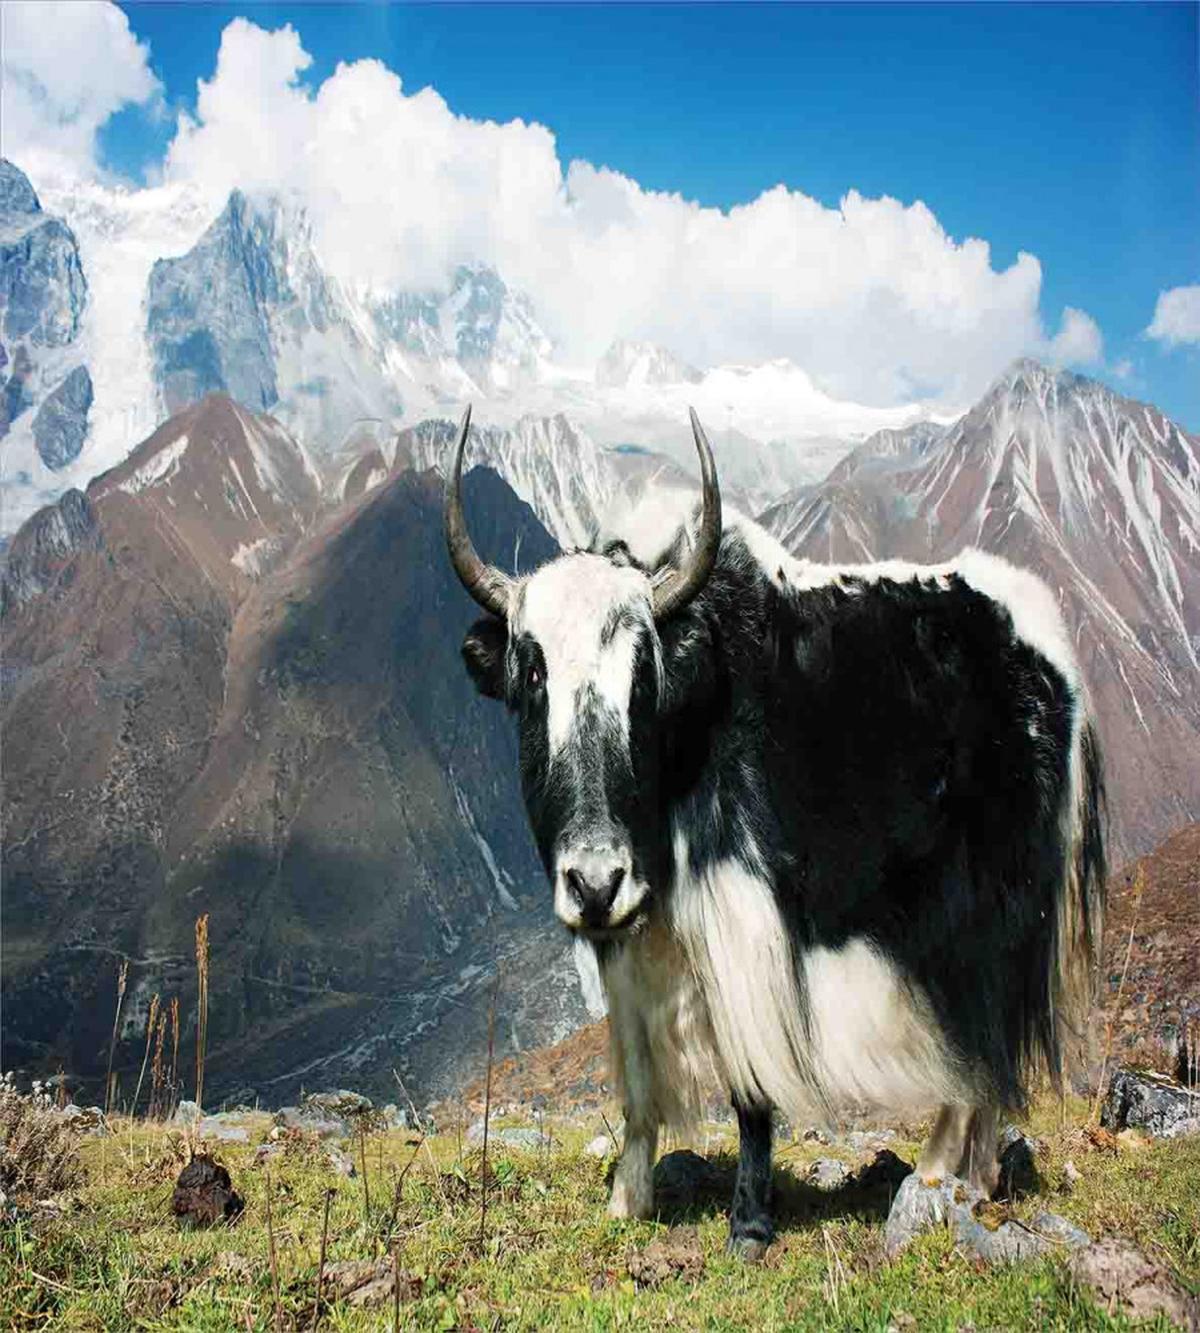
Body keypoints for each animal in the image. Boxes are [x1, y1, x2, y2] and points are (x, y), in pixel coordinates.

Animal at [445, 405, 1106, 1258]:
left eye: (642, 679)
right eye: (532, 674)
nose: (593, 882)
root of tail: (1050, 647)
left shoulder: (743, 914)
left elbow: (751, 1082)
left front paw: (750, 1224)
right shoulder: (631, 936)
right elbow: (636, 1072)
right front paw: (627, 1198)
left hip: (996, 904)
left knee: (985, 1031)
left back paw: (937, 1171)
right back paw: (972, 1172)